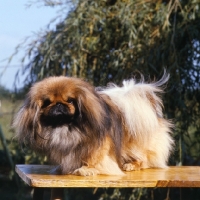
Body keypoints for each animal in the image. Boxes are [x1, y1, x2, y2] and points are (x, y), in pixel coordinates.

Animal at [13, 73, 174, 175]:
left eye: (70, 101)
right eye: (47, 102)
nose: (58, 105)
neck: (65, 126)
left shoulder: (99, 145)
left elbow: (94, 158)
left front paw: (86, 169)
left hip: (135, 144)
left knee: (145, 159)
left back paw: (131, 165)